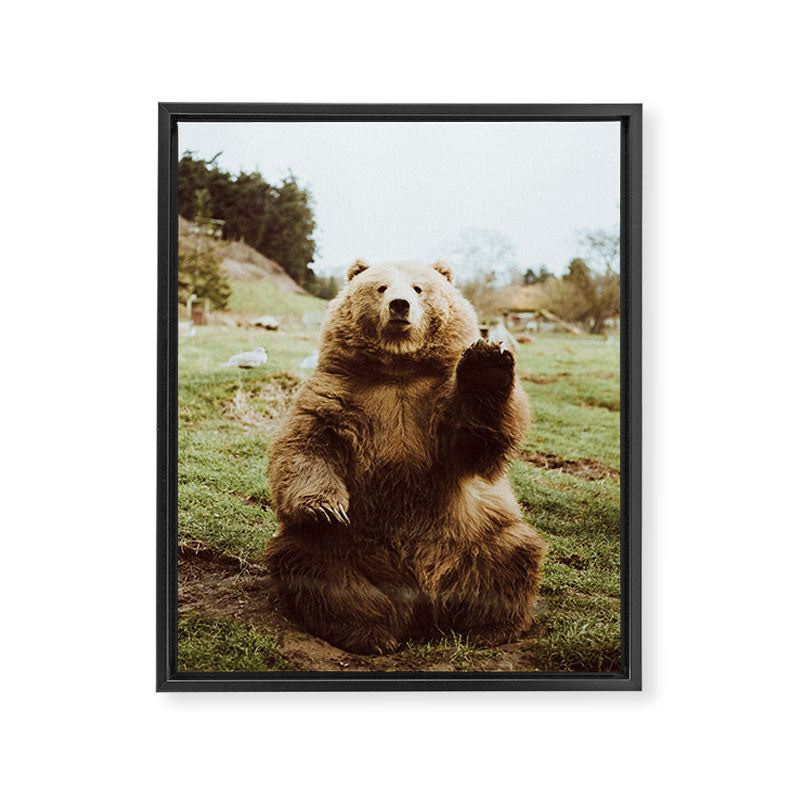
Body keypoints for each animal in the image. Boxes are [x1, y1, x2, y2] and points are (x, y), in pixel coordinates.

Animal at [266, 258, 546, 655]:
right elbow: (307, 444)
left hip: (475, 534)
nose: (400, 305)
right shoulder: (338, 394)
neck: (398, 370)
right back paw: (370, 633)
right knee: (314, 566)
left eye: (418, 288)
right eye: (381, 287)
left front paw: (487, 363)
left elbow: (478, 438)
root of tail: (421, 604)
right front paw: (325, 507)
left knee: (510, 555)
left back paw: (489, 628)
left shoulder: (434, 404)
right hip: (348, 547)